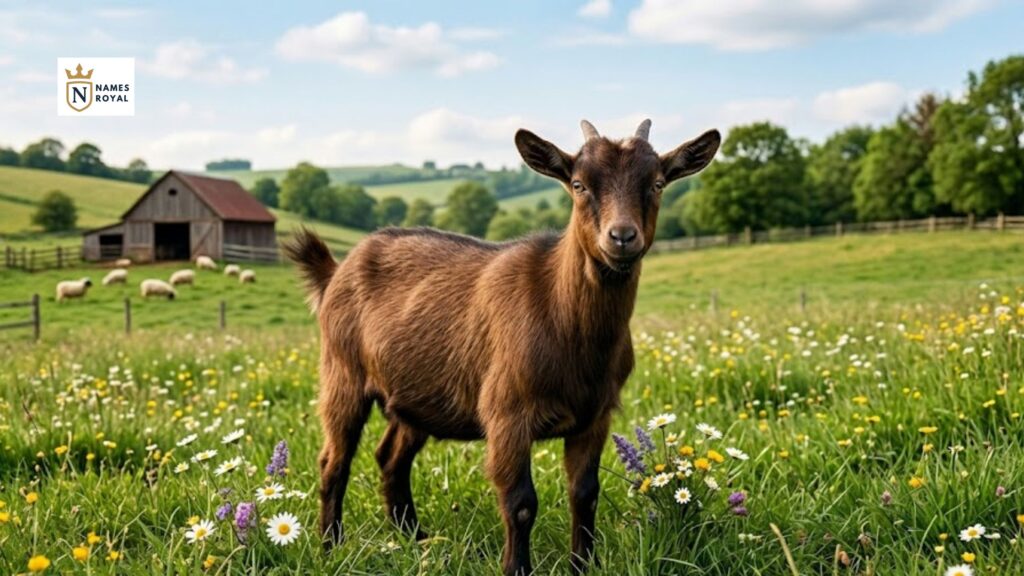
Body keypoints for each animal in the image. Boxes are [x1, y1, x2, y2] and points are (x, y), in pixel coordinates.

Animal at [285, 119, 719, 575]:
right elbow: (521, 502)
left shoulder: (594, 416)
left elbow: (585, 494)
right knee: (334, 461)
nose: (621, 237)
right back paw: (331, 545)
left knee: (391, 458)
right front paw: (516, 568)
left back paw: (417, 540)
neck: (565, 321)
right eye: (578, 184)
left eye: (657, 183)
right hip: (342, 372)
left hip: (415, 396)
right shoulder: (508, 413)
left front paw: (582, 565)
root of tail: (336, 270)